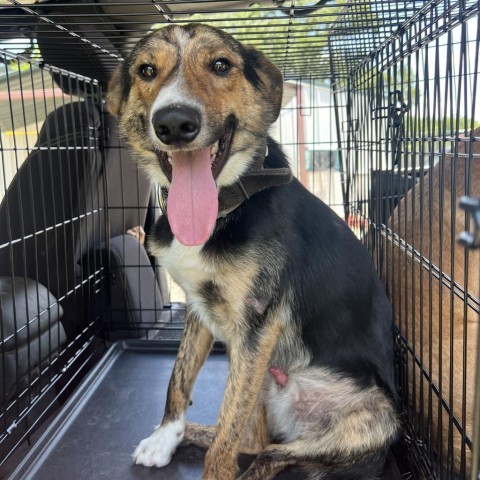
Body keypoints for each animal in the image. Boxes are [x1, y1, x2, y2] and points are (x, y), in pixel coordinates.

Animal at [106, 23, 402, 480]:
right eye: (146, 70)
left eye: (220, 65)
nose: (174, 123)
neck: (226, 204)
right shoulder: (199, 307)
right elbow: (179, 378)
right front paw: (165, 434)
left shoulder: (256, 327)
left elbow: (226, 439)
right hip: (261, 374)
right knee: (255, 441)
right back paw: (187, 433)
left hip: (371, 414)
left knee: (266, 453)